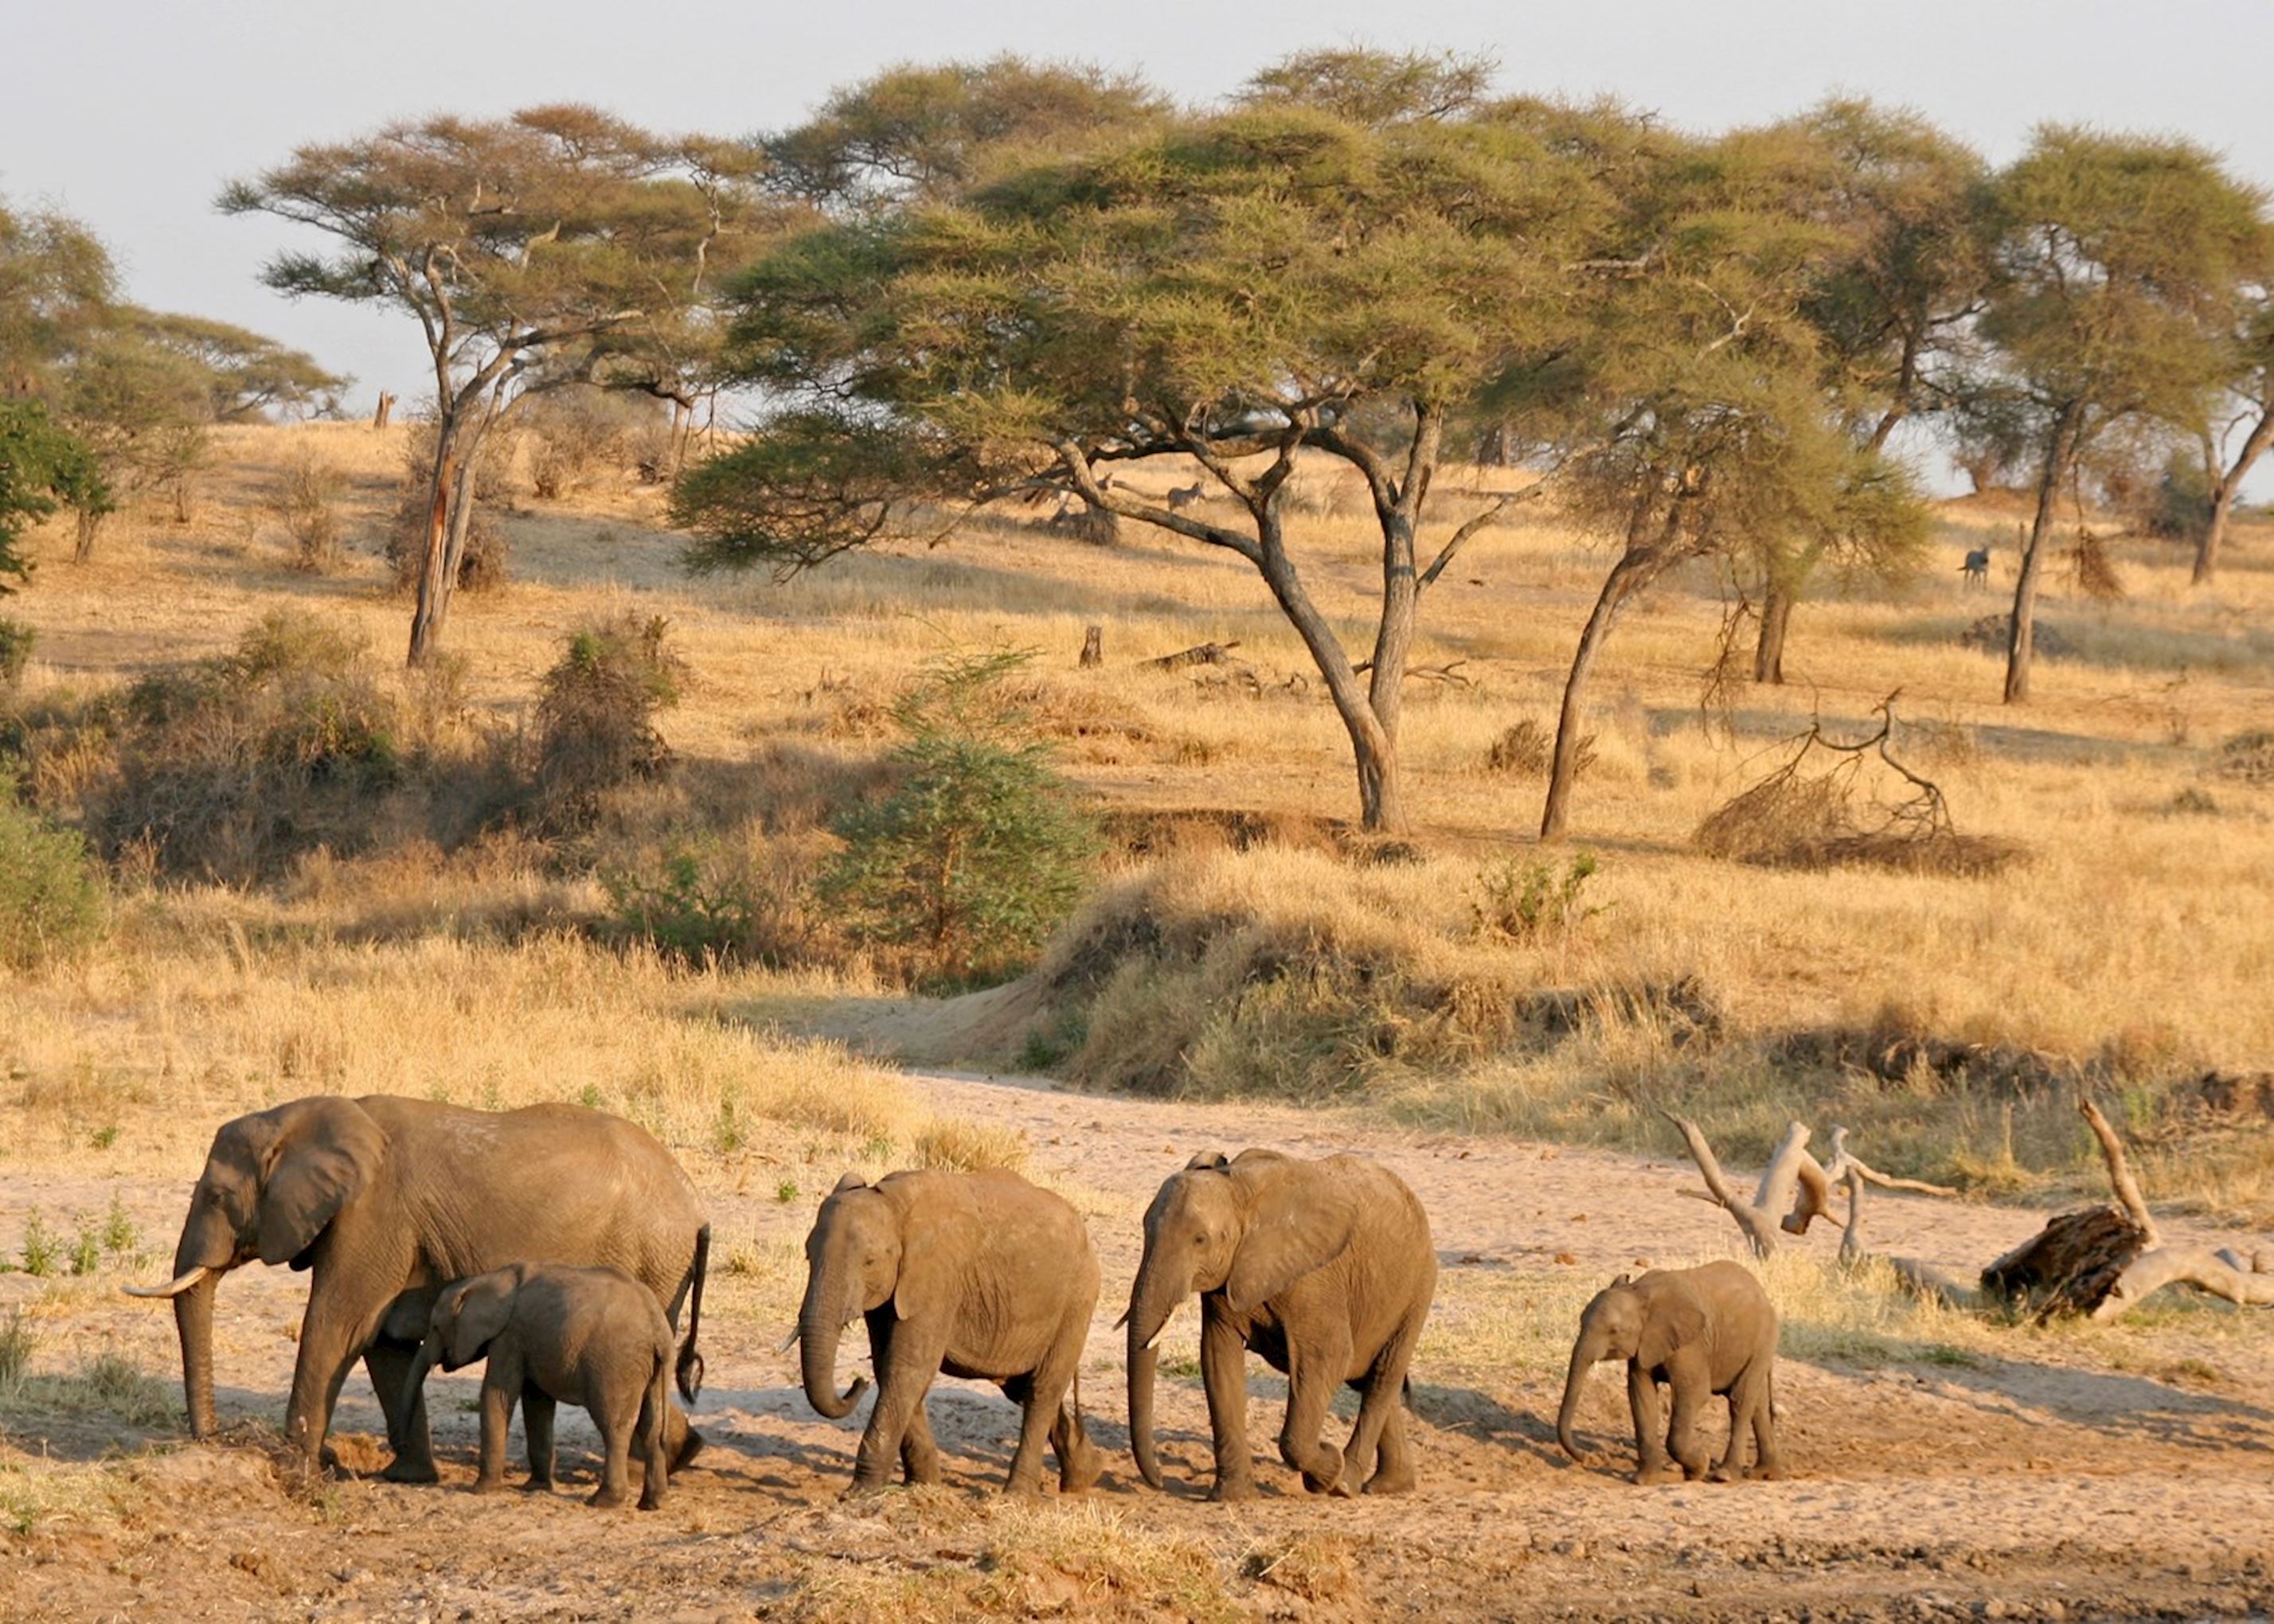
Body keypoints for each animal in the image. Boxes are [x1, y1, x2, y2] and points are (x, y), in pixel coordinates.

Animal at [124, 1096, 705, 1474]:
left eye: (217, 1197)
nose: (215, 1440)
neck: (297, 1118)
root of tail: (693, 1202)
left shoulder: (372, 1215)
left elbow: (338, 1326)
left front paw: (295, 1468)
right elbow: (381, 1341)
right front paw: (406, 1476)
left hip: (652, 1258)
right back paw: (680, 1453)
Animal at [409, 1264, 678, 1501]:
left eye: (435, 1328)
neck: (486, 1280)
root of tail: (659, 1329)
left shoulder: (510, 1337)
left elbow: (496, 1396)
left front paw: (480, 1490)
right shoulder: (529, 1341)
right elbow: (537, 1403)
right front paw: (534, 1488)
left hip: (615, 1364)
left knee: (615, 1428)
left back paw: (603, 1502)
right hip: (650, 1368)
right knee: (651, 1428)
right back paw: (653, 1503)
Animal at [791, 1164, 1100, 1492]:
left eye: (870, 1262)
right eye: (808, 1255)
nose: (856, 1383)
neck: (893, 1204)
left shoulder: (938, 1279)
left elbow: (909, 1367)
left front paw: (861, 1492)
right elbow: (889, 1366)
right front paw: (922, 1486)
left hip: (1077, 1300)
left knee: (1043, 1390)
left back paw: (1017, 1495)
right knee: (1023, 1387)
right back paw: (1086, 1475)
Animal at [1123, 1146, 1428, 1501]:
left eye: (1200, 1240)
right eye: (1145, 1230)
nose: (1159, 1481)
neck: (1235, 1189)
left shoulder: (1314, 1279)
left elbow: (1327, 1357)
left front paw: (1326, 1471)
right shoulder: (1228, 1278)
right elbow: (1218, 1360)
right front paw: (1231, 1497)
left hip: (1416, 1291)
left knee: (1382, 1376)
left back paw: (1345, 1484)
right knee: (1368, 1378)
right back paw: (1388, 1485)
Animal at [1555, 1255, 1783, 1482]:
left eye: (1614, 1331)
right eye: (1580, 1321)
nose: (1591, 1458)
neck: (1638, 1291)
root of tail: (1761, 1292)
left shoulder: (1690, 1343)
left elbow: (1694, 1393)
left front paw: (1699, 1468)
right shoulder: (1645, 1343)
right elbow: (1641, 1395)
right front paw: (1644, 1481)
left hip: (1763, 1340)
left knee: (1740, 1400)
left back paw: (1725, 1475)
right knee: (1758, 1404)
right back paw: (1762, 1473)